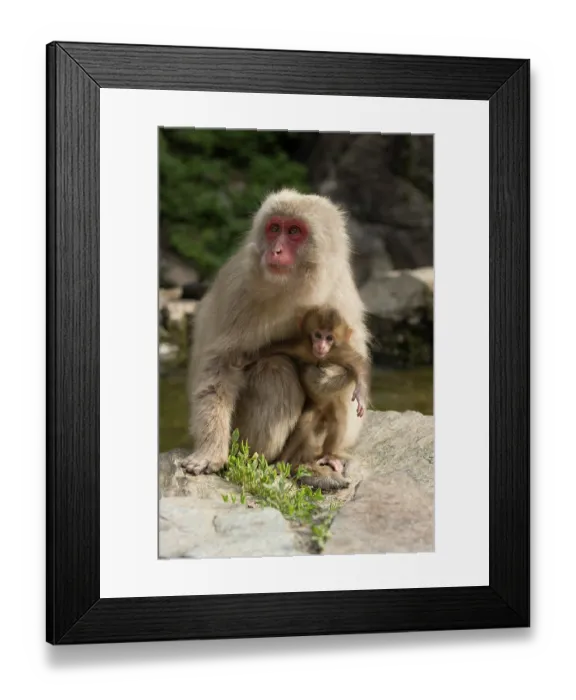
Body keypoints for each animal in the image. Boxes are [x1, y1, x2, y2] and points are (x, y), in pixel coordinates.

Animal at [181, 188, 370, 491]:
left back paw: (312, 463)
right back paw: (266, 460)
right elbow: (220, 367)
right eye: (274, 228)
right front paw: (210, 451)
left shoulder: (341, 293)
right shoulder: (239, 290)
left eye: (294, 231)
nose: (276, 250)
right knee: (275, 369)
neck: (294, 288)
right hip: (241, 436)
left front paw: (329, 376)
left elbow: (352, 364)